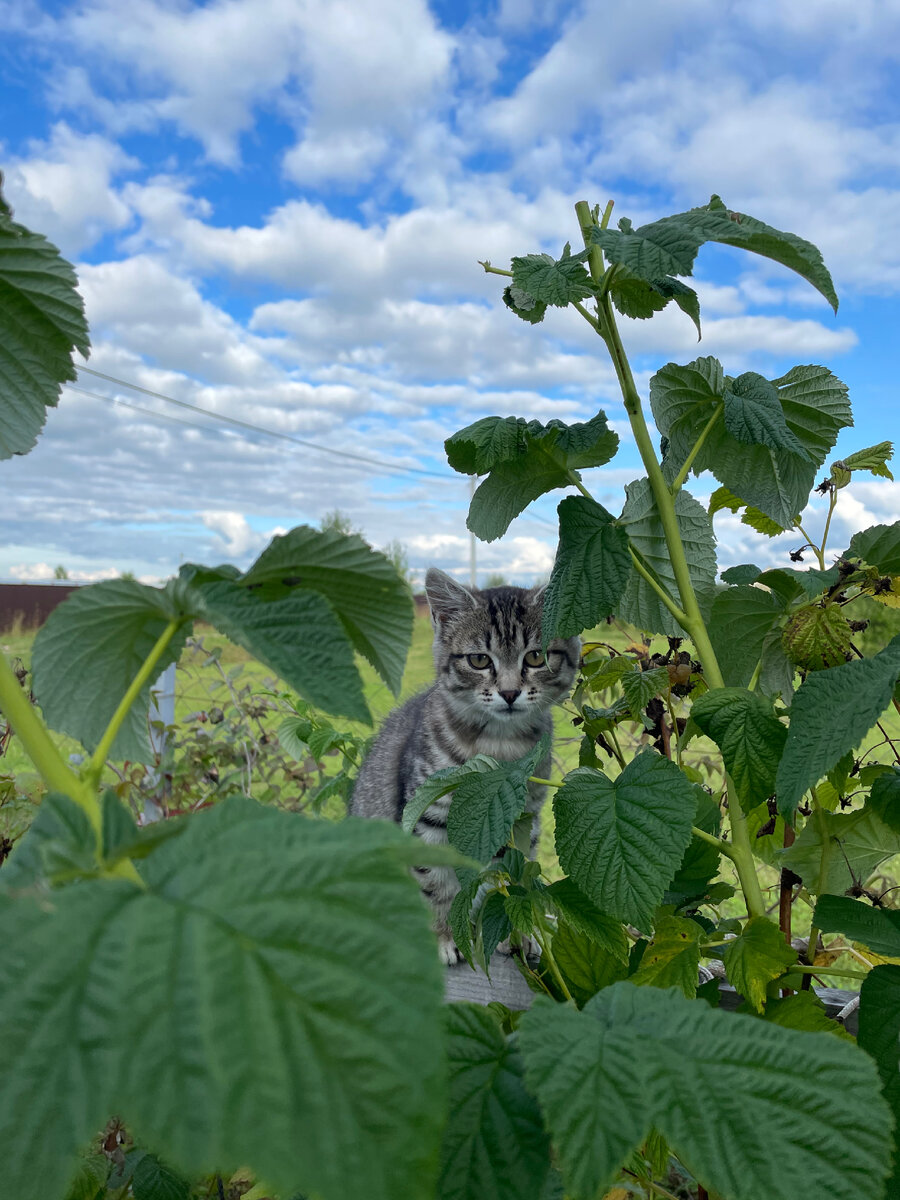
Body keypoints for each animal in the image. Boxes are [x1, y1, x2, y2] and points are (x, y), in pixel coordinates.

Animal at [348, 564, 580, 964]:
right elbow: (434, 882)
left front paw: (514, 933)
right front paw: (443, 934)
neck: (499, 749)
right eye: (479, 660)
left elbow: (508, 879)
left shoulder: (520, 819)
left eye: (535, 657)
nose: (509, 692)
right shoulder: (426, 812)